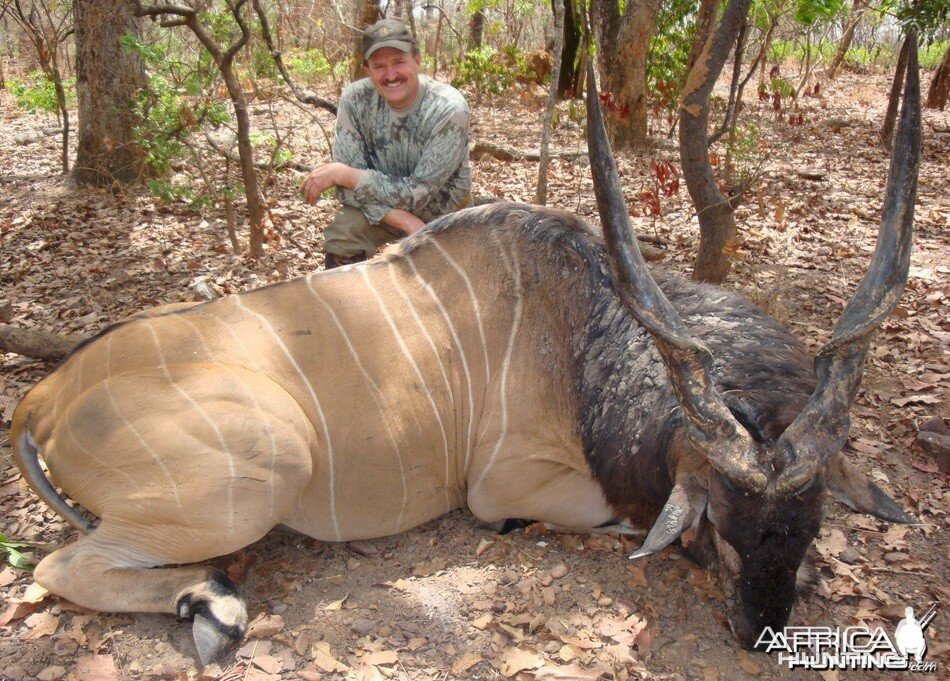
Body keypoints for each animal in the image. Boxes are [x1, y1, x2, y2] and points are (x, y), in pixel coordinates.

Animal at [13, 45, 924, 660]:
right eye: (727, 530)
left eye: (808, 526)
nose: (760, 628)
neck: (580, 330)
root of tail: (43, 397)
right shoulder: (503, 486)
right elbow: (603, 518)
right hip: (267, 461)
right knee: (57, 566)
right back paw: (216, 606)